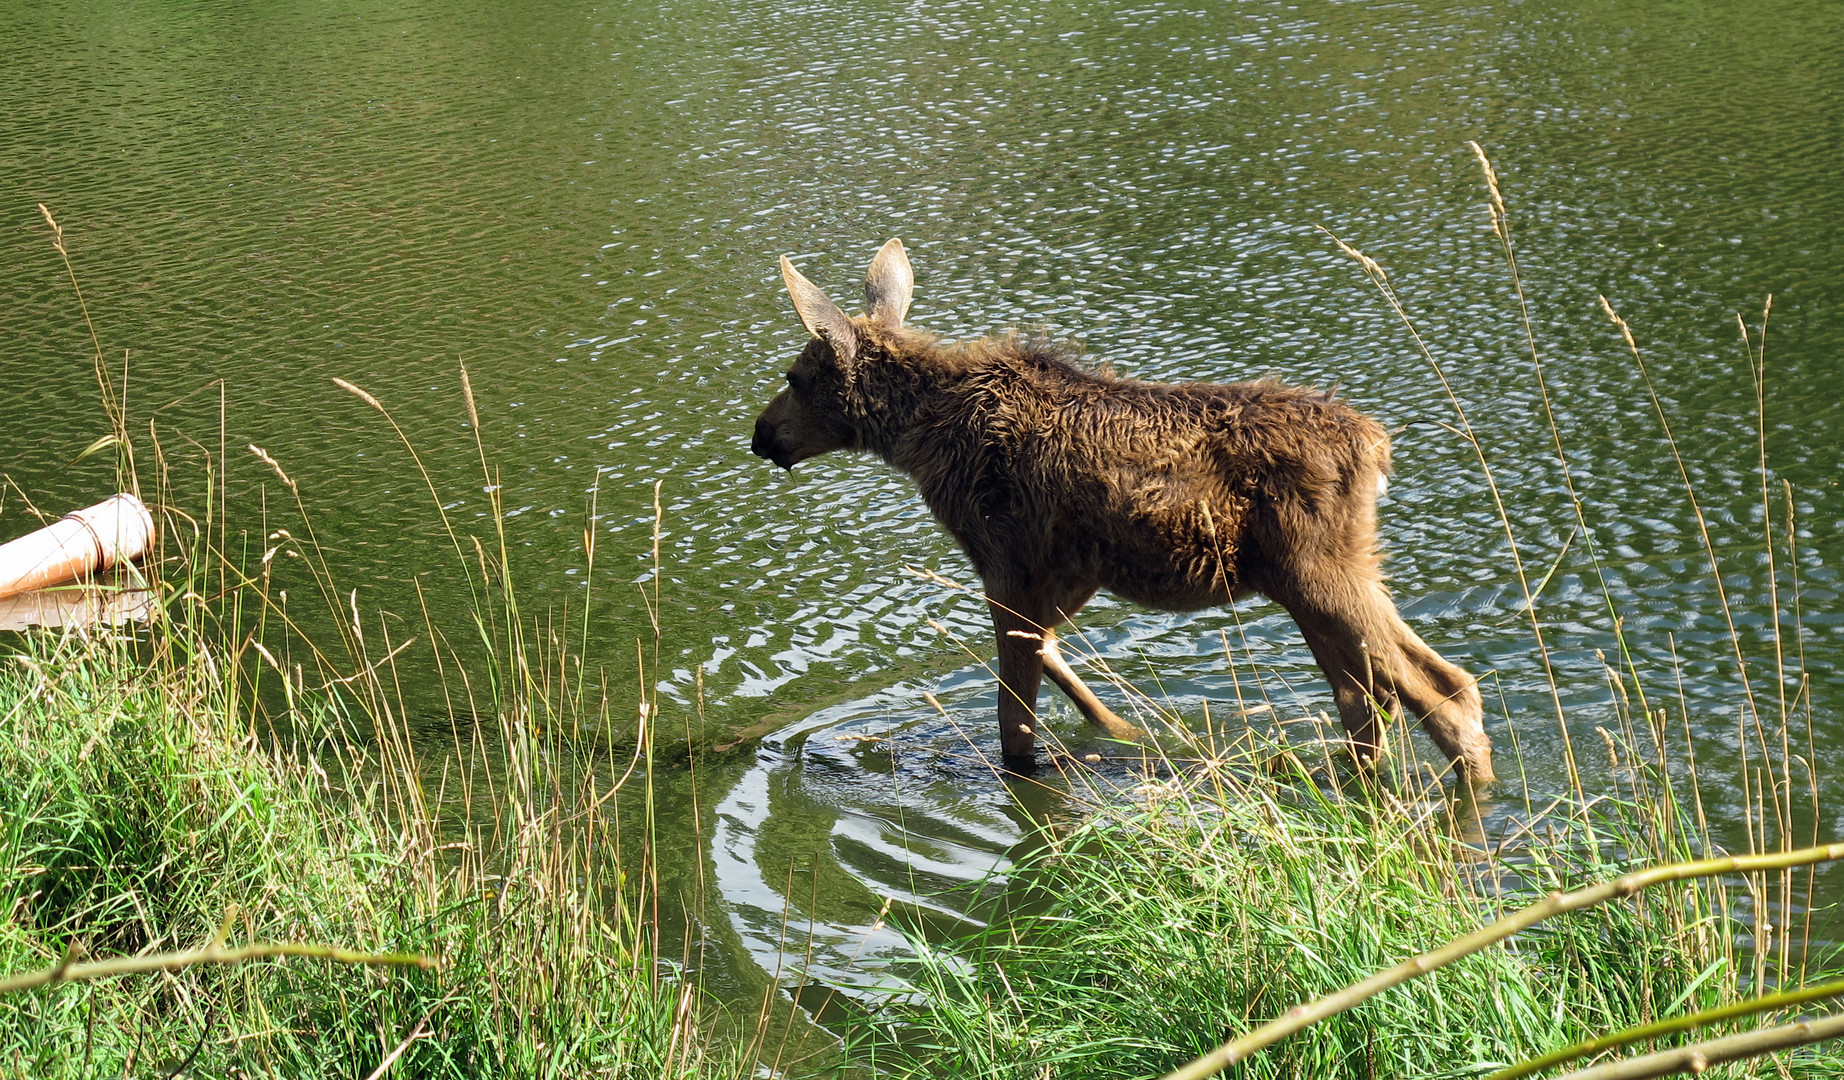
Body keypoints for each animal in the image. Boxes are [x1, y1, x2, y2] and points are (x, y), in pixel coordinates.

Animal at [748, 239, 1497, 777]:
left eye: (795, 376)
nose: (761, 434)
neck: (922, 440)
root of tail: (1375, 445)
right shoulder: (1068, 571)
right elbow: (1053, 656)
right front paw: (1130, 731)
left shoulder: (1008, 563)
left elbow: (1015, 724)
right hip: (1324, 576)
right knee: (1376, 702)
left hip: (1317, 572)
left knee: (1440, 694)